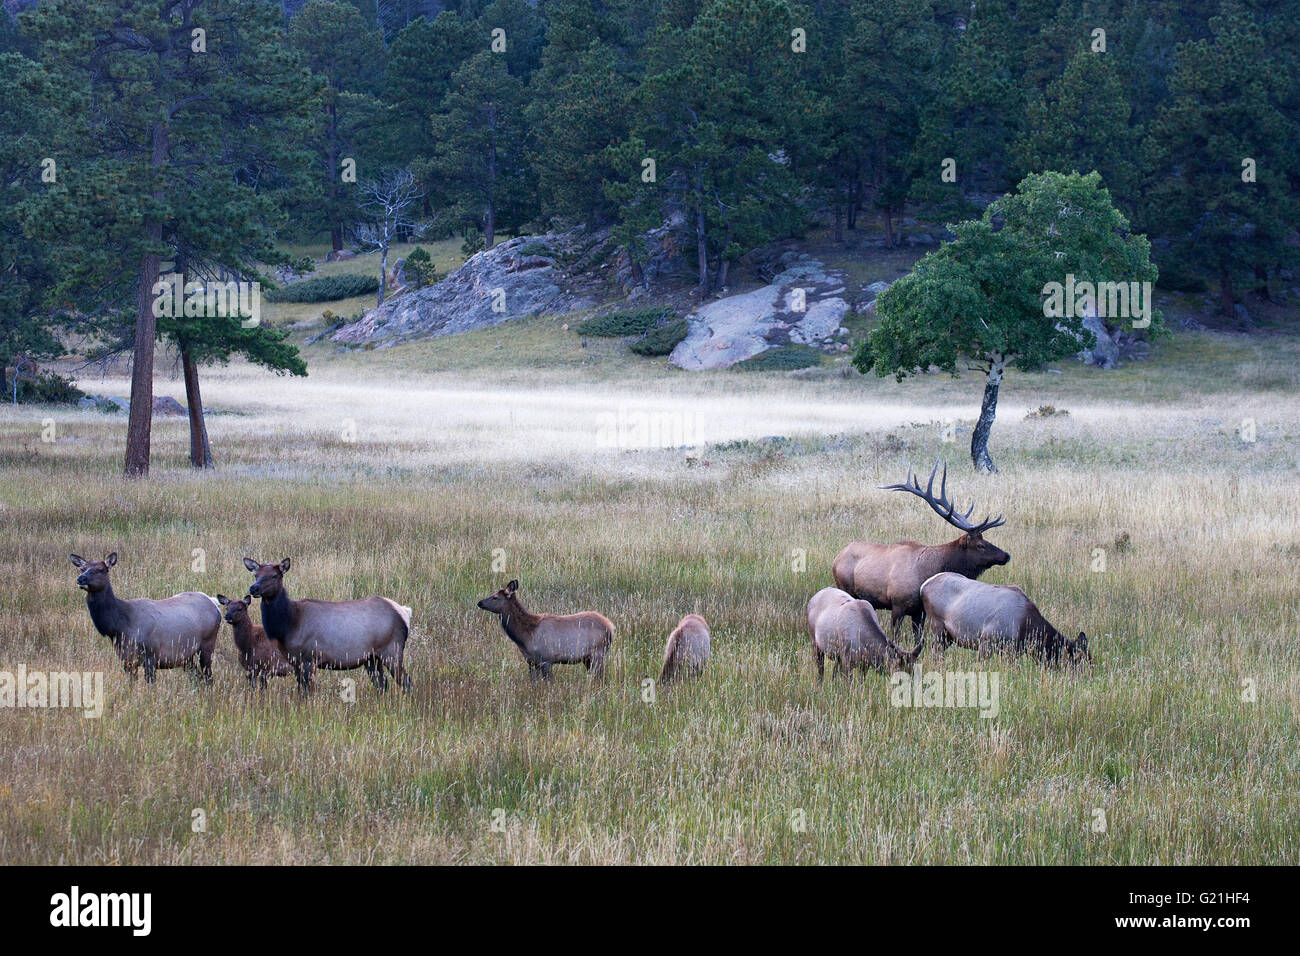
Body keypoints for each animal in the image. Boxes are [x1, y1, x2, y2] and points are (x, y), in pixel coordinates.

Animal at [69, 548, 219, 686]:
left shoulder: (151, 655)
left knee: (208, 677)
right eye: (82, 568)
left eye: (101, 569)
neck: (119, 627)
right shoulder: (126, 659)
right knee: (197, 676)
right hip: (187, 657)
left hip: (207, 644)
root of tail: (214, 603)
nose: (80, 578)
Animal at [240, 554, 410, 697]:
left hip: (392, 649)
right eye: (256, 575)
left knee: (406, 682)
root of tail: (404, 613)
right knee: (382, 684)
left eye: (275, 575)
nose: (253, 588)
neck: (288, 625)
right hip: (372, 657)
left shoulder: (309, 658)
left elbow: (307, 692)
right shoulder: (295, 661)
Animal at [475, 580, 616, 686]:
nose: (479, 602)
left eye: (495, 597)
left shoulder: (546, 659)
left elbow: (549, 683)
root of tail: (611, 627)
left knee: (601, 677)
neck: (524, 637)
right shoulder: (532, 661)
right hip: (588, 658)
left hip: (598, 653)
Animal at [832, 460, 1013, 639]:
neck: (925, 572)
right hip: (845, 587)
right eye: (980, 545)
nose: (1006, 555)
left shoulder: (920, 611)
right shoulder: (897, 604)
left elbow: (919, 638)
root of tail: (837, 557)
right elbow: (895, 636)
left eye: (986, 540)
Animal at [920, 574, 1092, 665]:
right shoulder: (986, 641)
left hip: (949, 637)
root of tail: (924, 586)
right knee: (935, 650)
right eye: (1078, 660)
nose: (1087, 677)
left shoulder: (1012, 652)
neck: (1024, 628)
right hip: (938, 627)